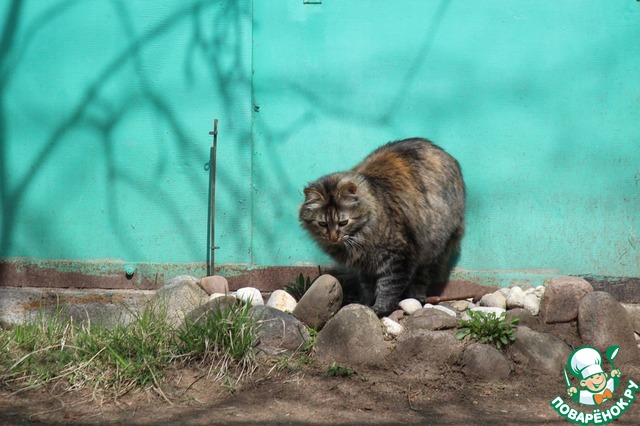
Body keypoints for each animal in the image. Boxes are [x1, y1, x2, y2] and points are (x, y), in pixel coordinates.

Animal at [299, 138, 465, 316]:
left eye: (343, 223)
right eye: (322, 224)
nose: (333, 237)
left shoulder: (397, 258)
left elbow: (388, 287)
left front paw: (380, 308)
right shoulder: (365, 266)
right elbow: (367, 288)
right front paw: (364, 304)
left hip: (432, 247)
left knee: (421, 278)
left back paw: (416, 297)